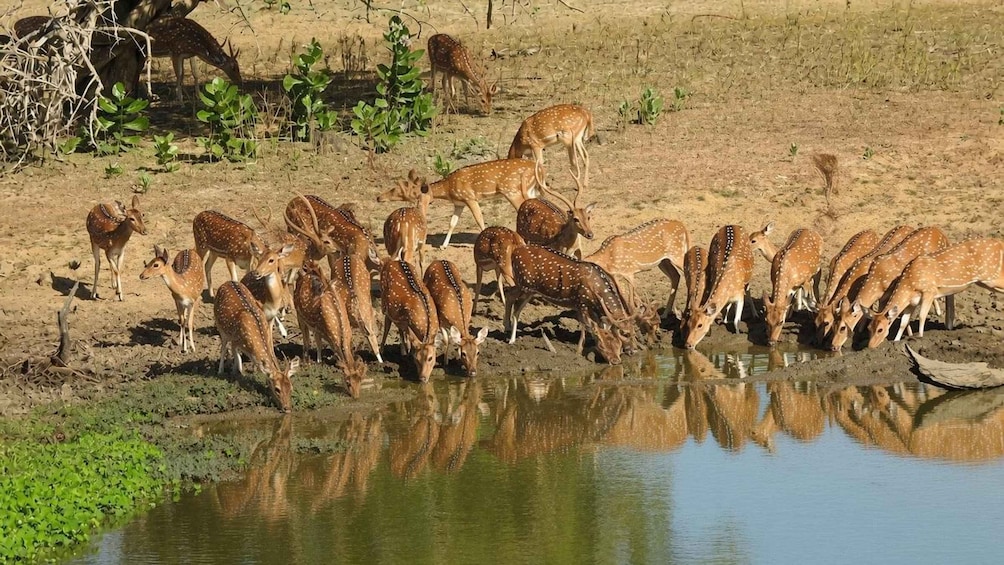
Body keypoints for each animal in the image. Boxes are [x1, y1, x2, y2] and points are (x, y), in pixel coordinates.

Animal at [213, 281, 297, 412]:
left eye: (291, 388)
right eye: (277, 389)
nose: (287, 408)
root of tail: (227, 282)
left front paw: (252, 371)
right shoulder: (235, 340)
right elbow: (237, 356)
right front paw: (238, 374)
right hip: (220, 325)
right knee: (223, 347)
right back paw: (220, 371)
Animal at [293, 261, 368, 398]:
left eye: (361, 379)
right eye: (348, 382)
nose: (355, 396)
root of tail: (308, 268)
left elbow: (320, 344)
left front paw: (321, 361)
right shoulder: (324, 331)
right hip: (298, 312)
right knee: (306, 338)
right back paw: (306, 362)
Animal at [376, 162, 541, 250]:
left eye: (397, 190)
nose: (378, 197)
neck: (448, 189)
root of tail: (537, 168)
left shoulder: (470, 197)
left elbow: (479, 219)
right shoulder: (459, 203)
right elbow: (452, 223)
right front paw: (443, 246)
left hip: (512, 190)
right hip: (530, 190)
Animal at [504, 244, 636, 364]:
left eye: (634, 331)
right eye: (624, 333)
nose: (633, 351)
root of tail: (514, 252)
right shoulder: (581, 303)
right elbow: (585, 327)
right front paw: (578, 352)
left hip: (528, 289)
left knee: (512, 298)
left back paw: (508, 329)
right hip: (525, 284)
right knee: (513, 301)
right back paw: (510, 337)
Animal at [866, 238, 1004, 348]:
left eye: (880, 329)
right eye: (869, 328)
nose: (870, 346)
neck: (910, 283)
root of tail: (1000, 242)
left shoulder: (929, 291)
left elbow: (922, 315)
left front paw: (919, 337)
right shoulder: (912, 302)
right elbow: (903, 322)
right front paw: (896, 341)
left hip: (992, 277)